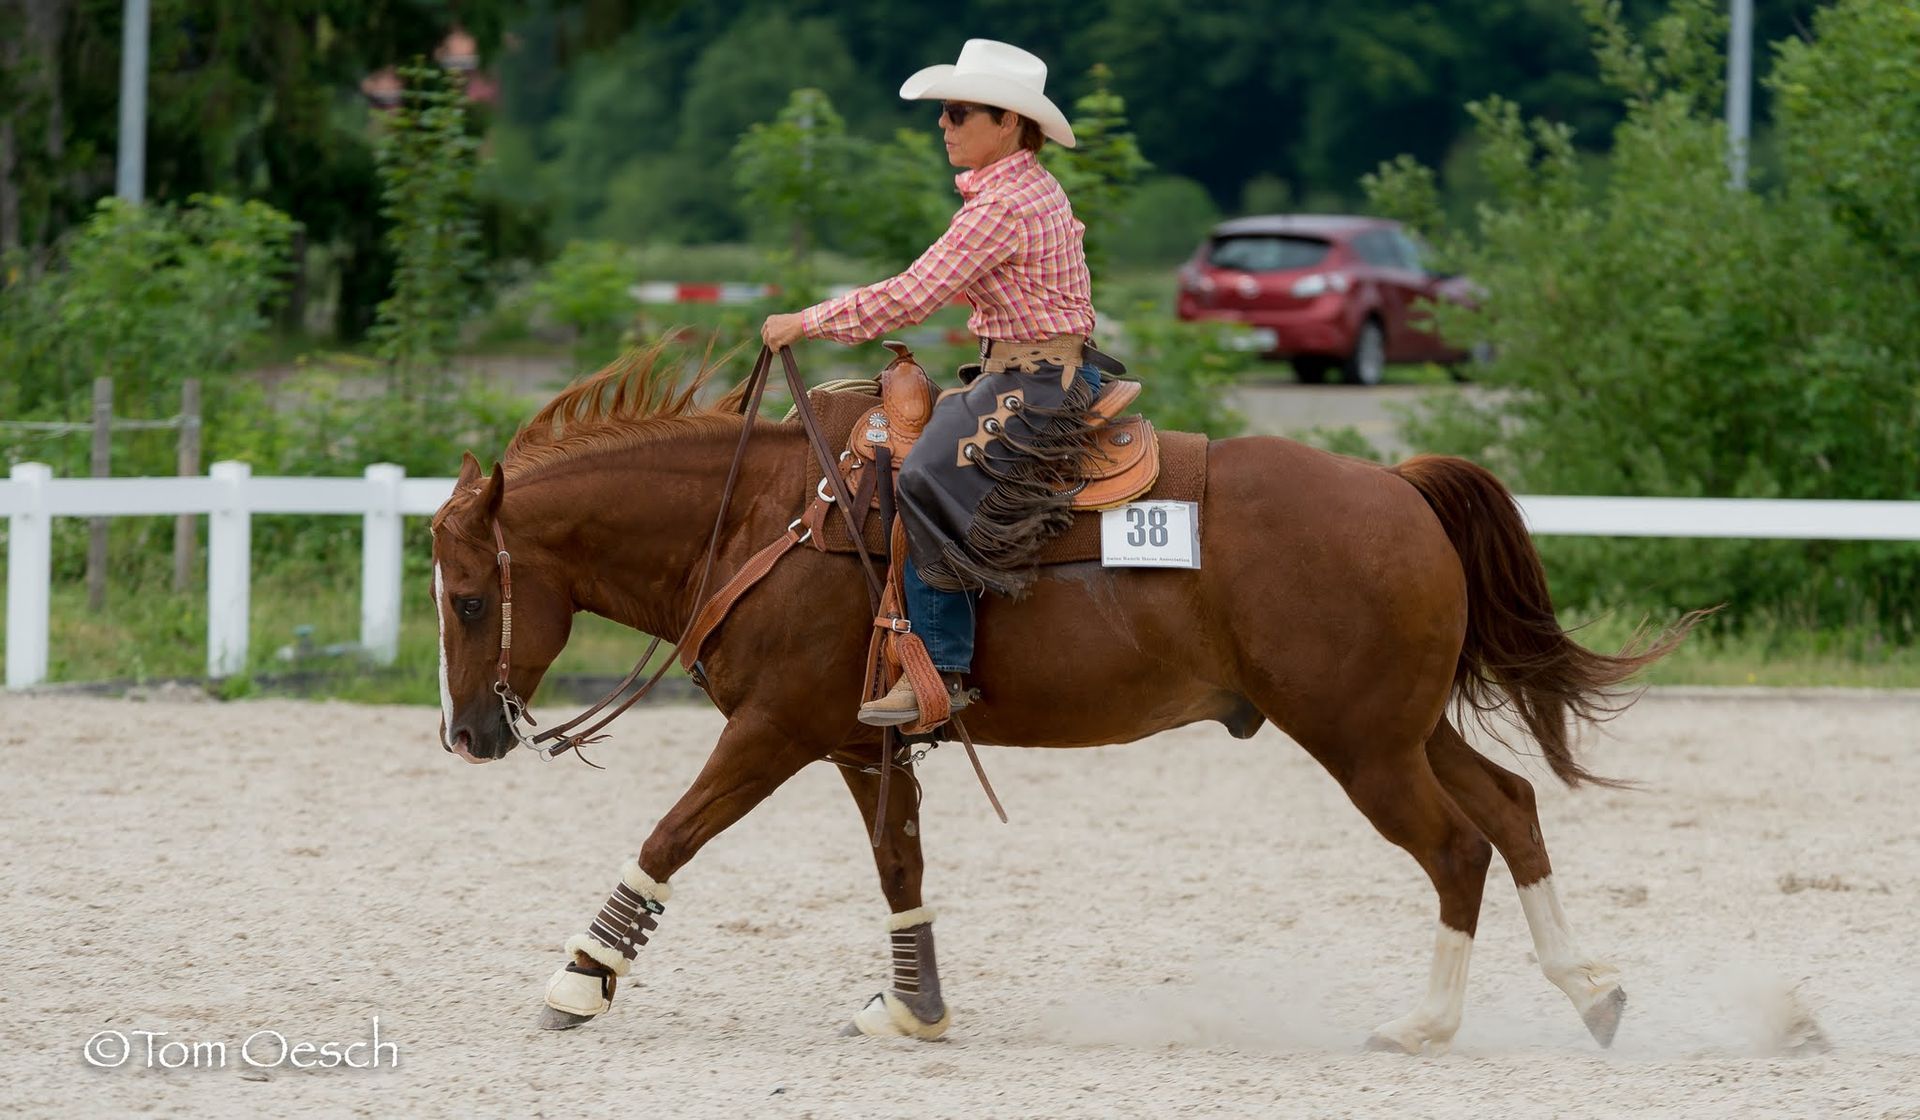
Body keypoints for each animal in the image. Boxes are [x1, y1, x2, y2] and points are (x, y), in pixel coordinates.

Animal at [427, 342, 1698, 1053]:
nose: (470, 734)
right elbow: (900, 866)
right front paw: (915, 1009)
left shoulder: (772, 730)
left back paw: (1423, 1025)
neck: (763, 519)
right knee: (1513, 808)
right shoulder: (856, 743)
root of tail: (1397, 486)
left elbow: (671, 835)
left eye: (472, 598)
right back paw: (1594, 993)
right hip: (1402, 726)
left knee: (1455, 847)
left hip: (1362, 745)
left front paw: (577, 983)